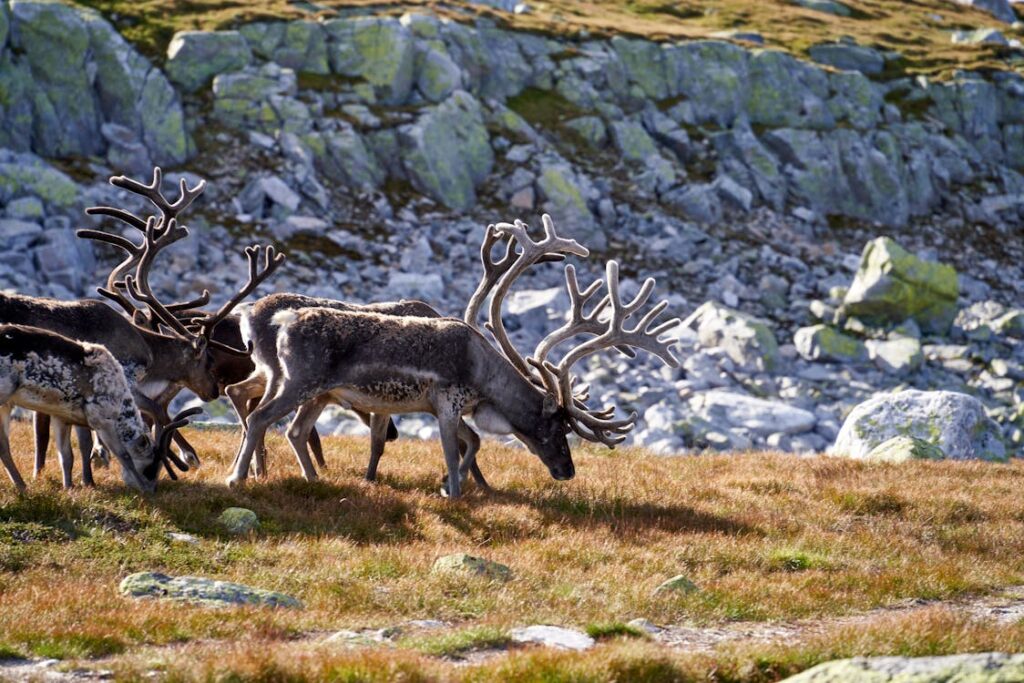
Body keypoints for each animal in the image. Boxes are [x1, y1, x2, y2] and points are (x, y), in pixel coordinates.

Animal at [0, 323, 200, 493]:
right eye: (150, 469)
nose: (153, 490)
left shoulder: (61, 416)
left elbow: (66, 455)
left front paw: (69, 488)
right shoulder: (101, 420)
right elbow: (124, 455)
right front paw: (142, 488)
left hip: (6, 404)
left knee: (4, 445)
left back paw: (22, 487)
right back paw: (22, 487)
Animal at [13, 167, 283, 486]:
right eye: (208, 359)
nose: (215, 392)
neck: (150, 351)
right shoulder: (122, 380)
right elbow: (143, 415)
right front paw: (172, 461)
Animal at [226, 214, 680, 498]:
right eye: (556, 427)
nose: (567, 472)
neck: (483, 372)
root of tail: (278, 319)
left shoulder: (442, 408)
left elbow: (472, 442)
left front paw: (451, 484)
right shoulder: (447, 402)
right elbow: (453, 448)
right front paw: (454, 492)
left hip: (302, 386)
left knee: (283, 424)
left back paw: (302, 478)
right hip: (301, 382)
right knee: (262, 417)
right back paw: (237, 479)